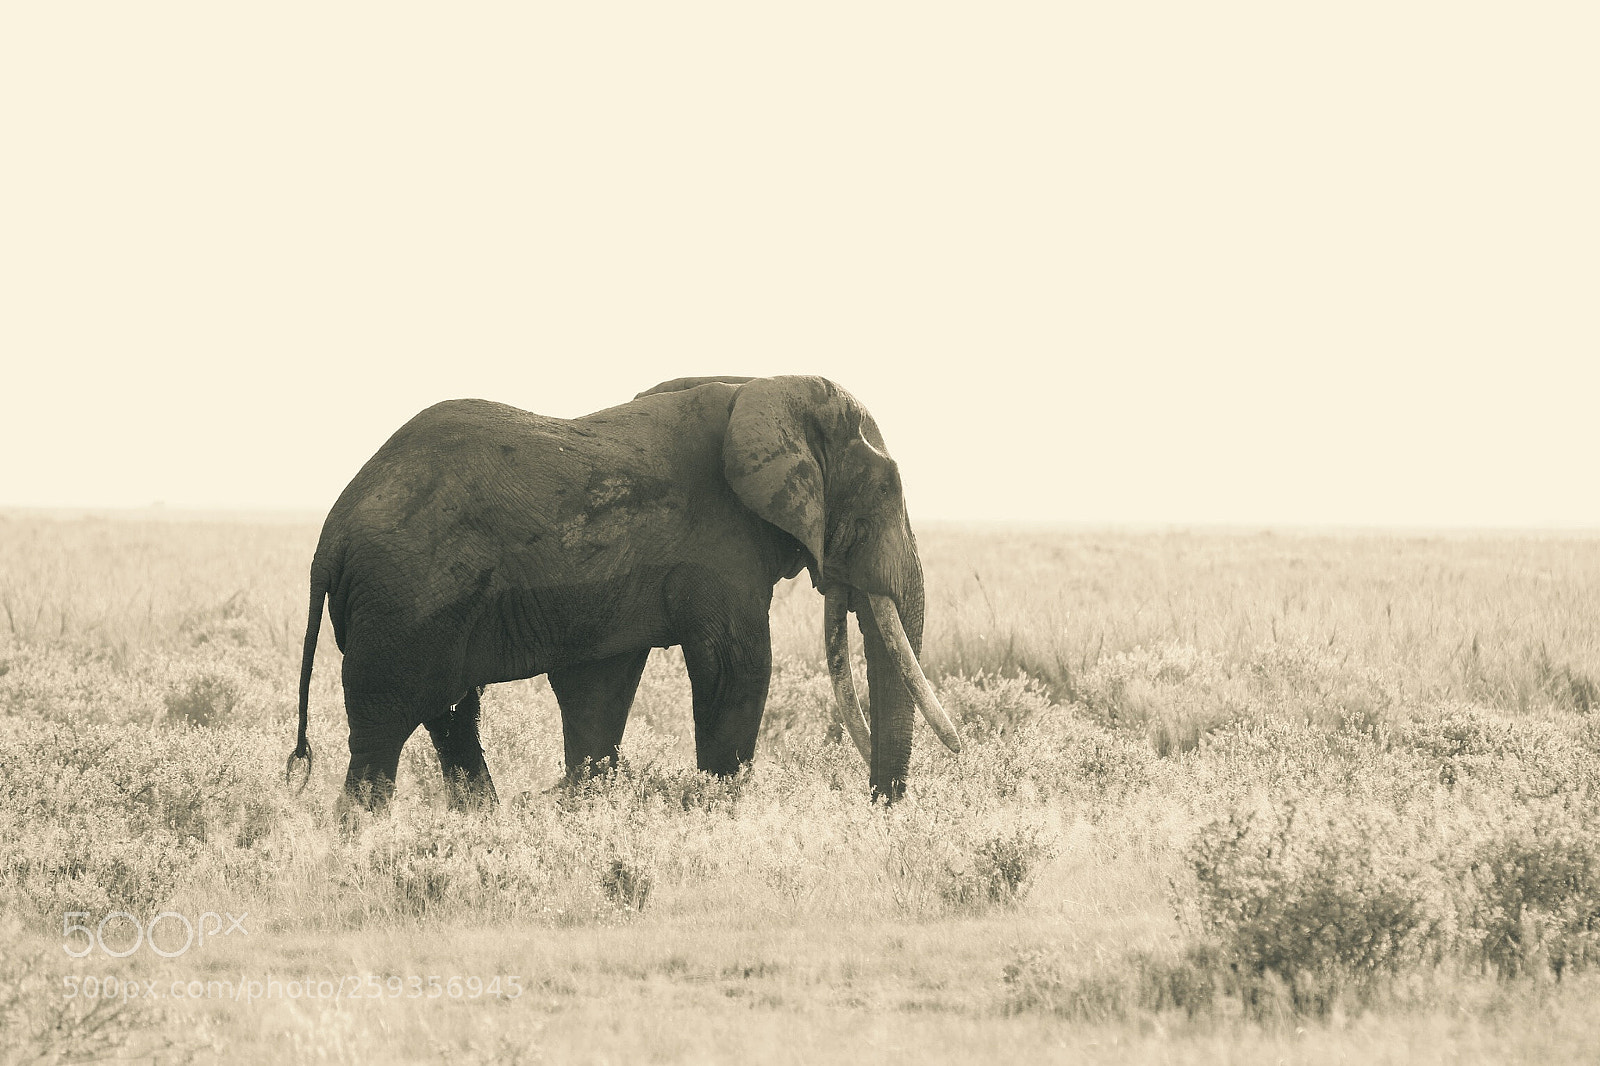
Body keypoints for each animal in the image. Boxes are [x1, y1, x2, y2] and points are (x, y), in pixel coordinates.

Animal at [285, 374, 959, 809]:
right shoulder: (721, 548)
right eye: (886, 491)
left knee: (449, 717)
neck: (760, 385)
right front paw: (720, 809)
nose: (879, 803)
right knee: (381, 736)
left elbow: (598, 689)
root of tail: (330, 537)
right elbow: (736, 667)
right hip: (403, 598)